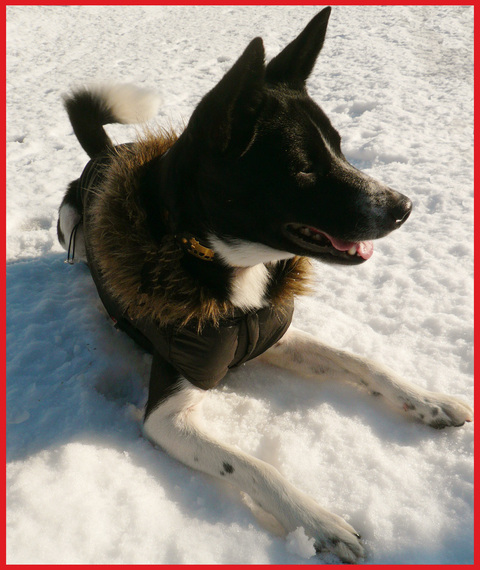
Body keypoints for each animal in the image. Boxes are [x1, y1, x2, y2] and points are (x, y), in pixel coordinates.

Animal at [57, 6, 472, 560]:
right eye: (303, 170)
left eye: (340, 148)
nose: (404, 207)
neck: (229, 264)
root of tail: (105, 154)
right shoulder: (166, 418)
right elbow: (253, 465)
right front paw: (320, 521)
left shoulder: (271, 332)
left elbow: (361, 360)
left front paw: (427, 400)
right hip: (69, 226)